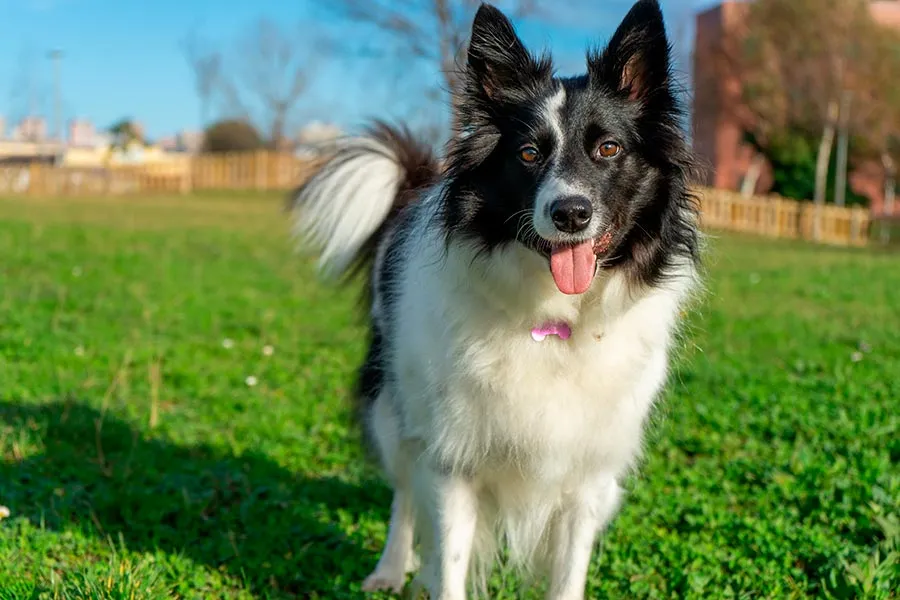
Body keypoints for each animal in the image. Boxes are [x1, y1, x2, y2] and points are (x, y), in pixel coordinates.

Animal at [292, 2, 700, 596]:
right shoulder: (453, 459)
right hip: (395, 407)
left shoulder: (588, 473)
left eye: (608, 148)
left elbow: (568, 572)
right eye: (528, 153)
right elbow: (449, 561)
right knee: (404, 494)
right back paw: (389, 569)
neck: (554, 319)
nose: (570, 213)